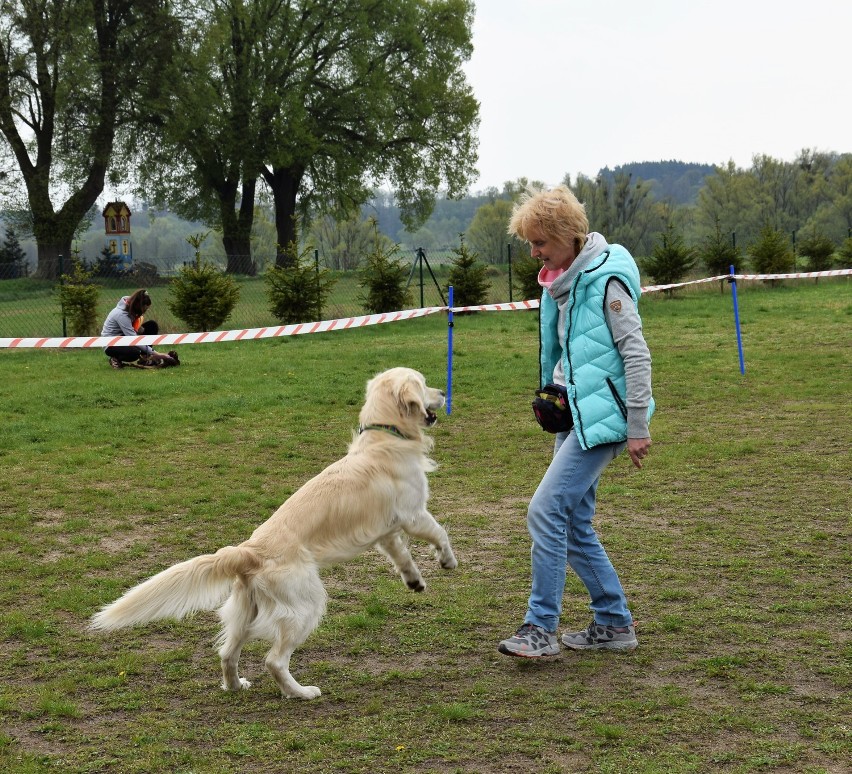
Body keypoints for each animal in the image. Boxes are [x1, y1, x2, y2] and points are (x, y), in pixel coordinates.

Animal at [90, 366, 456, 700]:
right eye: (424, 384)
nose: (443, 393)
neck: (386, 435)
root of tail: (248, 550)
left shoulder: (386, 531)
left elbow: (402, 555)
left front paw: (414, 581)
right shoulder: (413, 514)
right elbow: (441, 533)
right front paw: (448, 561)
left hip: (245, 612)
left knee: (226, 654)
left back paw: (236, 686)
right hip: (305, 605)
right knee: (274, 661)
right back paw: (301, 692)